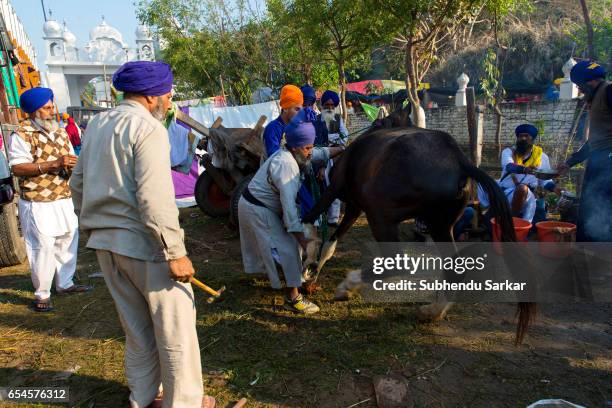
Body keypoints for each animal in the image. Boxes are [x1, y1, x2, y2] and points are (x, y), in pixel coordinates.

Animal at [304, 105, 536, 344]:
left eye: (378, 122)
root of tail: (458, 161)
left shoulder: (335, 191)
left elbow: (310, 221)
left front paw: (307, 269)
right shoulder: (353, 207)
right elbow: (330, 245)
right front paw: (312, 274)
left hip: (380, 216)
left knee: (396, 264)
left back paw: (349, 284)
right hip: (439, 226)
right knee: (454, 269)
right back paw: (432, 311)